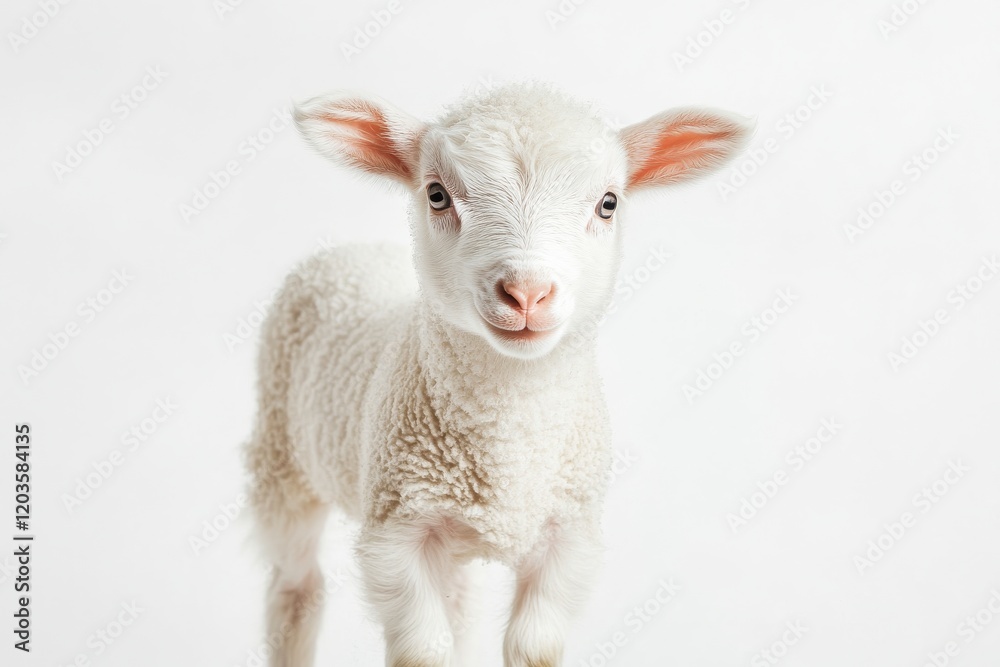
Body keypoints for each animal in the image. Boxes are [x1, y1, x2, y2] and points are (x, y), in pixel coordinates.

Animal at [245, 81, 751, 667]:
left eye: (608, 203)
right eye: (437, 195)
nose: (527, 292)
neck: (508, 438)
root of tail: (351, 251)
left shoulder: (568, 535)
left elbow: (533, 647)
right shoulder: (397, 532)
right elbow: (424, 652)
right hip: (281, 465)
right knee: (295, 588)